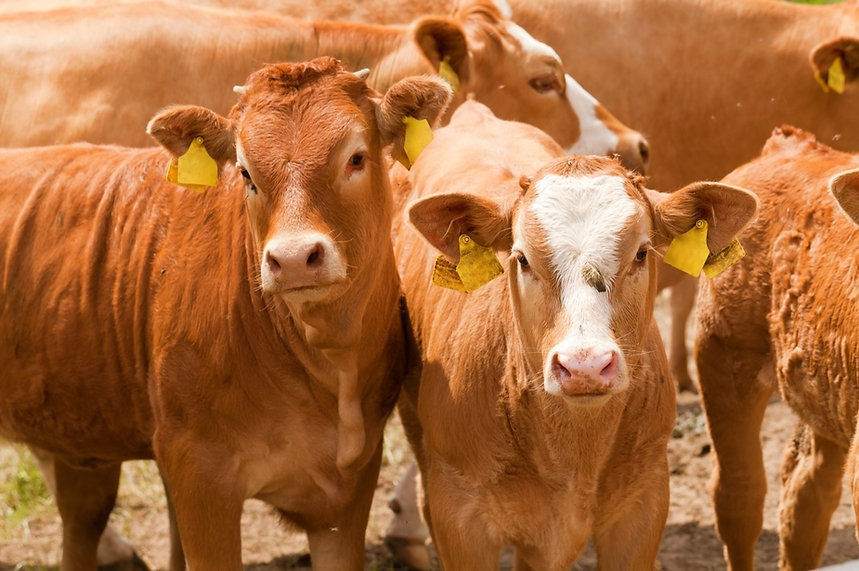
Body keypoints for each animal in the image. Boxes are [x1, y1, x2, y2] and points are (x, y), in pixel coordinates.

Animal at [0, 58, 452, 569]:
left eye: (356, 158)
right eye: (245, 172)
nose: (294, 259)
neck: (328, 370)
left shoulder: (349, 488)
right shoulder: (199, 472)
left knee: (82, 515)